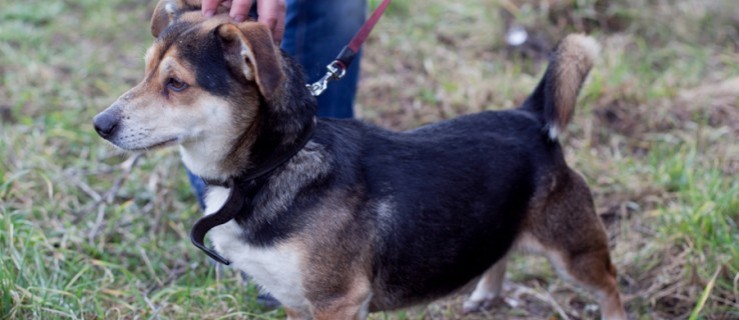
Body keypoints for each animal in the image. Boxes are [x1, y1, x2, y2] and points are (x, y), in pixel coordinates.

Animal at [91, 1, 624, 318]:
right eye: (144, 73)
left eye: (176, 83)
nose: (100, 124)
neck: (271, 166)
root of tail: (530, 117)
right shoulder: (295, 301)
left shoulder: (337, 302)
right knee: (500, 250)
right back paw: (485, 293)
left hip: (574, 252)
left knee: (610, 287)